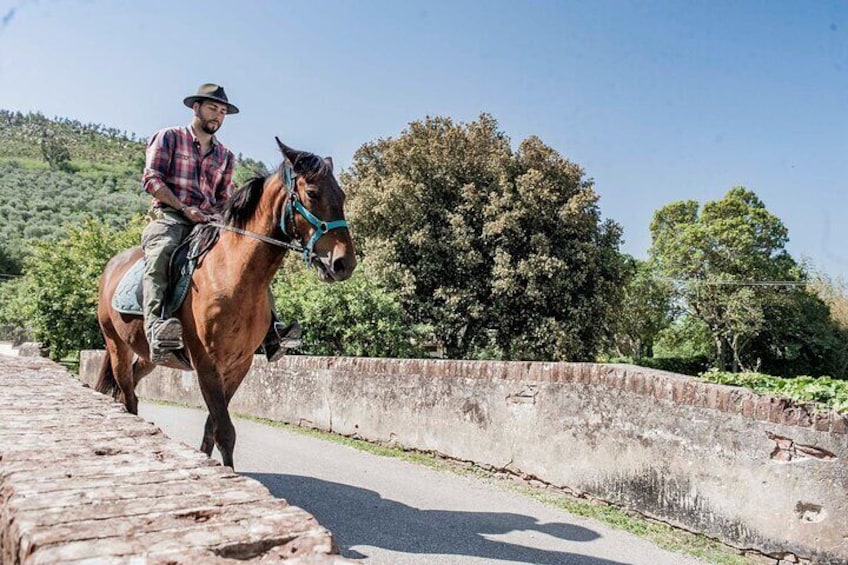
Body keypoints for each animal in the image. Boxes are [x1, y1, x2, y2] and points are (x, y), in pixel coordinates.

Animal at [95, 140, 354, 468]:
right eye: (312, 193)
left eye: (342, 195)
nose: (344, 263)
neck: (232, 274)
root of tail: (111, 267)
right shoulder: (207, 363)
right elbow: (225, 430)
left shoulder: (239, 364)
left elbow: (213, 427)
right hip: (116, 344)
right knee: (127, 397)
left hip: (150, 355)